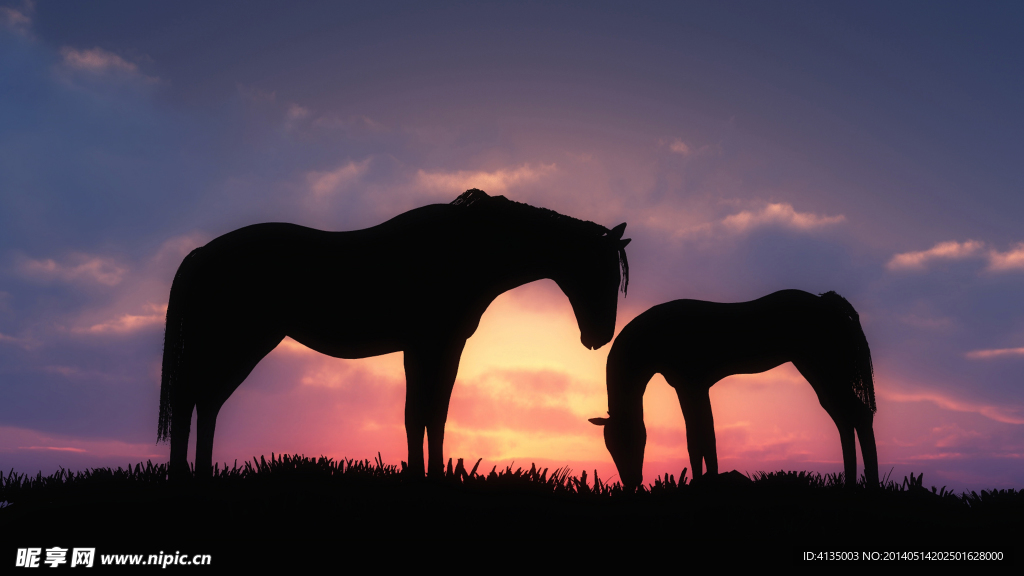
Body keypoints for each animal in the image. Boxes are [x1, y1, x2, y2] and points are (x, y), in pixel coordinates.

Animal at [159, 189, 630, 479]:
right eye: (603, 272)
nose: (599, 337)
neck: (467, 251)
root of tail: (201, 253)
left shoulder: (428, 348)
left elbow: (425, 413)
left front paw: (427, 473)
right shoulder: (434, 345)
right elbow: (425, 413)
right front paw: (429, 476)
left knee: (205, 402)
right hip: (238, 342)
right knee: (194, 400)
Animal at [589, 290, 877, 490]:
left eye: (628, 440)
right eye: (610, 446)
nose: (631, 482)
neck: (656, 336)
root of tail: (829, 304)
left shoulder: (691, 385)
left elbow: (700, 438)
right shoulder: (693, 387)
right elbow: (701, 437)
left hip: (824, 371)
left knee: (858, 416)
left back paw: (870, 483)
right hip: (819, 373)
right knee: (845, 418)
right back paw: (851, 482)